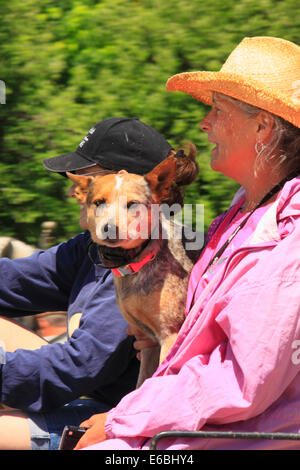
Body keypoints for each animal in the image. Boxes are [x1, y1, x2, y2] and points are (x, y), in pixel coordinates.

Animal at [67, 154, 200, 386]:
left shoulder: (170, 335)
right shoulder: (148, 340)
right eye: (99, 202)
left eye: (132, 204)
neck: (136, 261)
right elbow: (142, 381)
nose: (109, 229)